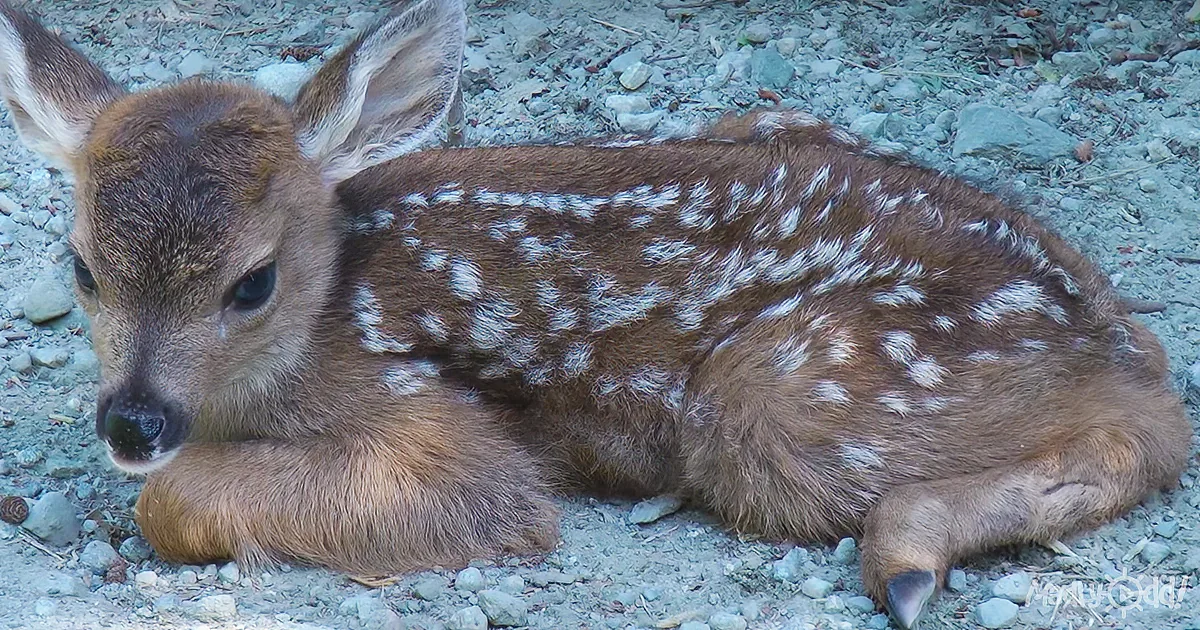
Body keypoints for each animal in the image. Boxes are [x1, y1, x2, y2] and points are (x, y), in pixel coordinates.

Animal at [0, 0, 1191, 627]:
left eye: (251, 282)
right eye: (80, 267)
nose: (132, 422)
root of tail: (1110, 333)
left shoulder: (433, 428)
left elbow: (174, 502)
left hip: (784, 392)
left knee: (1147, 439)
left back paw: (904, 555)